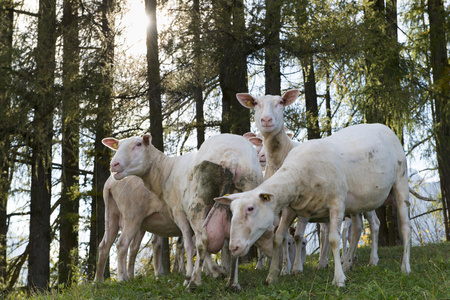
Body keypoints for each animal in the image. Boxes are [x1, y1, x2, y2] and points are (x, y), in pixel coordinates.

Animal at [101, 134, 264, 288]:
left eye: (138, 144)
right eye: (117, 146)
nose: (114, 164)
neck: (165, 171)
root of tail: (231, 156)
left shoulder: (179, 213)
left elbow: (188, 245)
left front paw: (188, 278)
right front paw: (213, 272)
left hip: (192, 205)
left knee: (201, 241)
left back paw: (193, 282)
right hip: (247, 189)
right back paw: (233, 283)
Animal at [216, 123, 414, 288]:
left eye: (250, 208)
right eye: (231, 211)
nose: (234, 248)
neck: (297, 174)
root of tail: (384, 126)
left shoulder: (336, 203)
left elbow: (333, 240)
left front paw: (338, 279)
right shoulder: (290, 209)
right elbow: (278, 238)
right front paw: (272, 276)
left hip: (400, 181)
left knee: (403, 226)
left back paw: (403, 267)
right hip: (356, 203)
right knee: (357, 229)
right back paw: (347, 263)